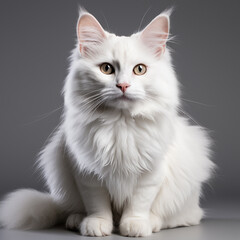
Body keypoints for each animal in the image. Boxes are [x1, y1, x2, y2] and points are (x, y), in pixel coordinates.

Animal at [0, 8, 214, 236]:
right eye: (106, 69)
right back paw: (77, 220)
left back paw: (152, 223)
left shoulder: (151, 172)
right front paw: (97, 224)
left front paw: (135, 225)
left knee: (176, 217)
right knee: (71, 210)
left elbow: (139, 203)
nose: (123, 85)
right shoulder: (87, 172)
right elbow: (97, 204)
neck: (121, 124)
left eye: (140, 69)